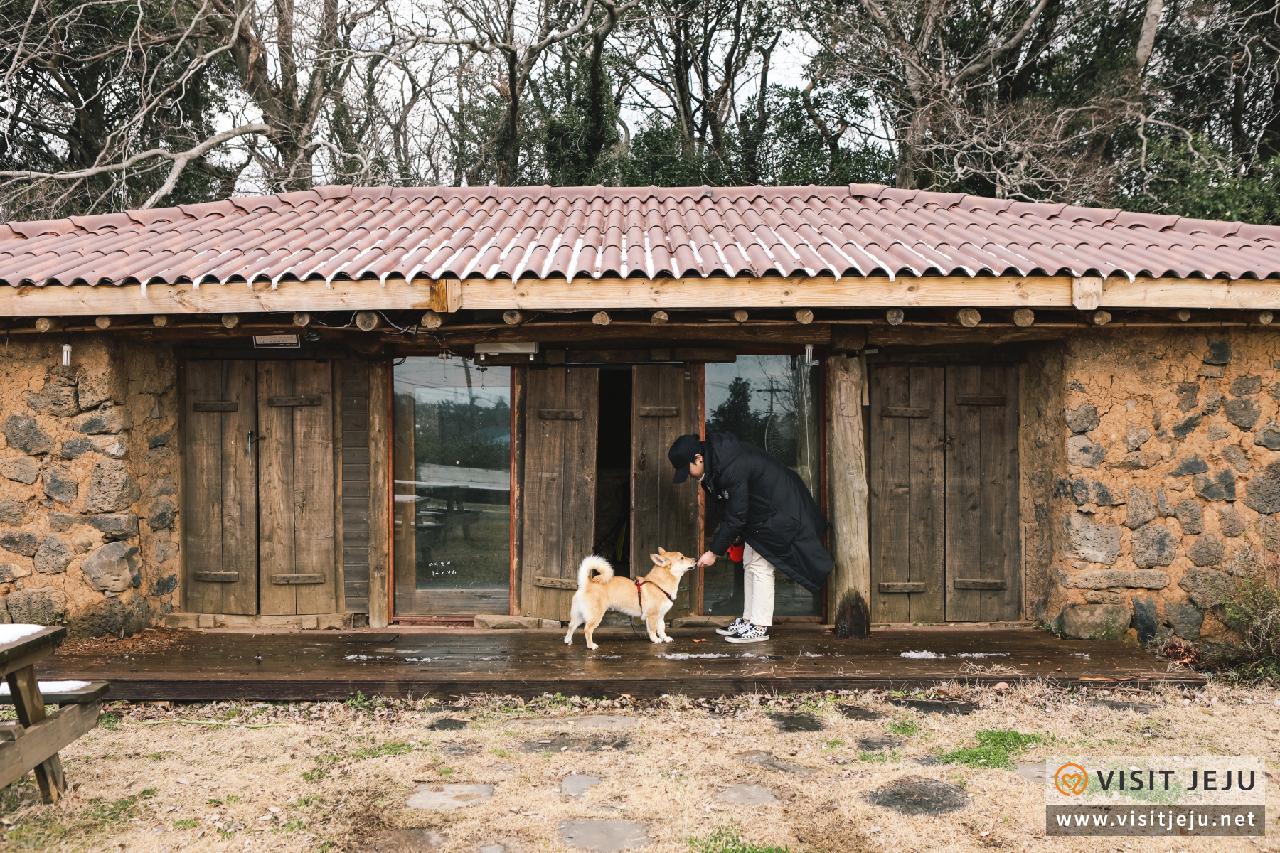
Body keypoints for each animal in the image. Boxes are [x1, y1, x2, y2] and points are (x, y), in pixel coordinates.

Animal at [565, 548, 696, 648]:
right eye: (682, 558)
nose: (695, 559)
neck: (659, 584)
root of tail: (587, 583)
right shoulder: (652, 616)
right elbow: (653, 630)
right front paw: (655, 640)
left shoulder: (660, 616)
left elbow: (661, 629)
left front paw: (665, 638)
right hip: (595, 616)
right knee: (587, 630)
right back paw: (591, 645)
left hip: (579, 615)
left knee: (571, 626)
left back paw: (568, 641)